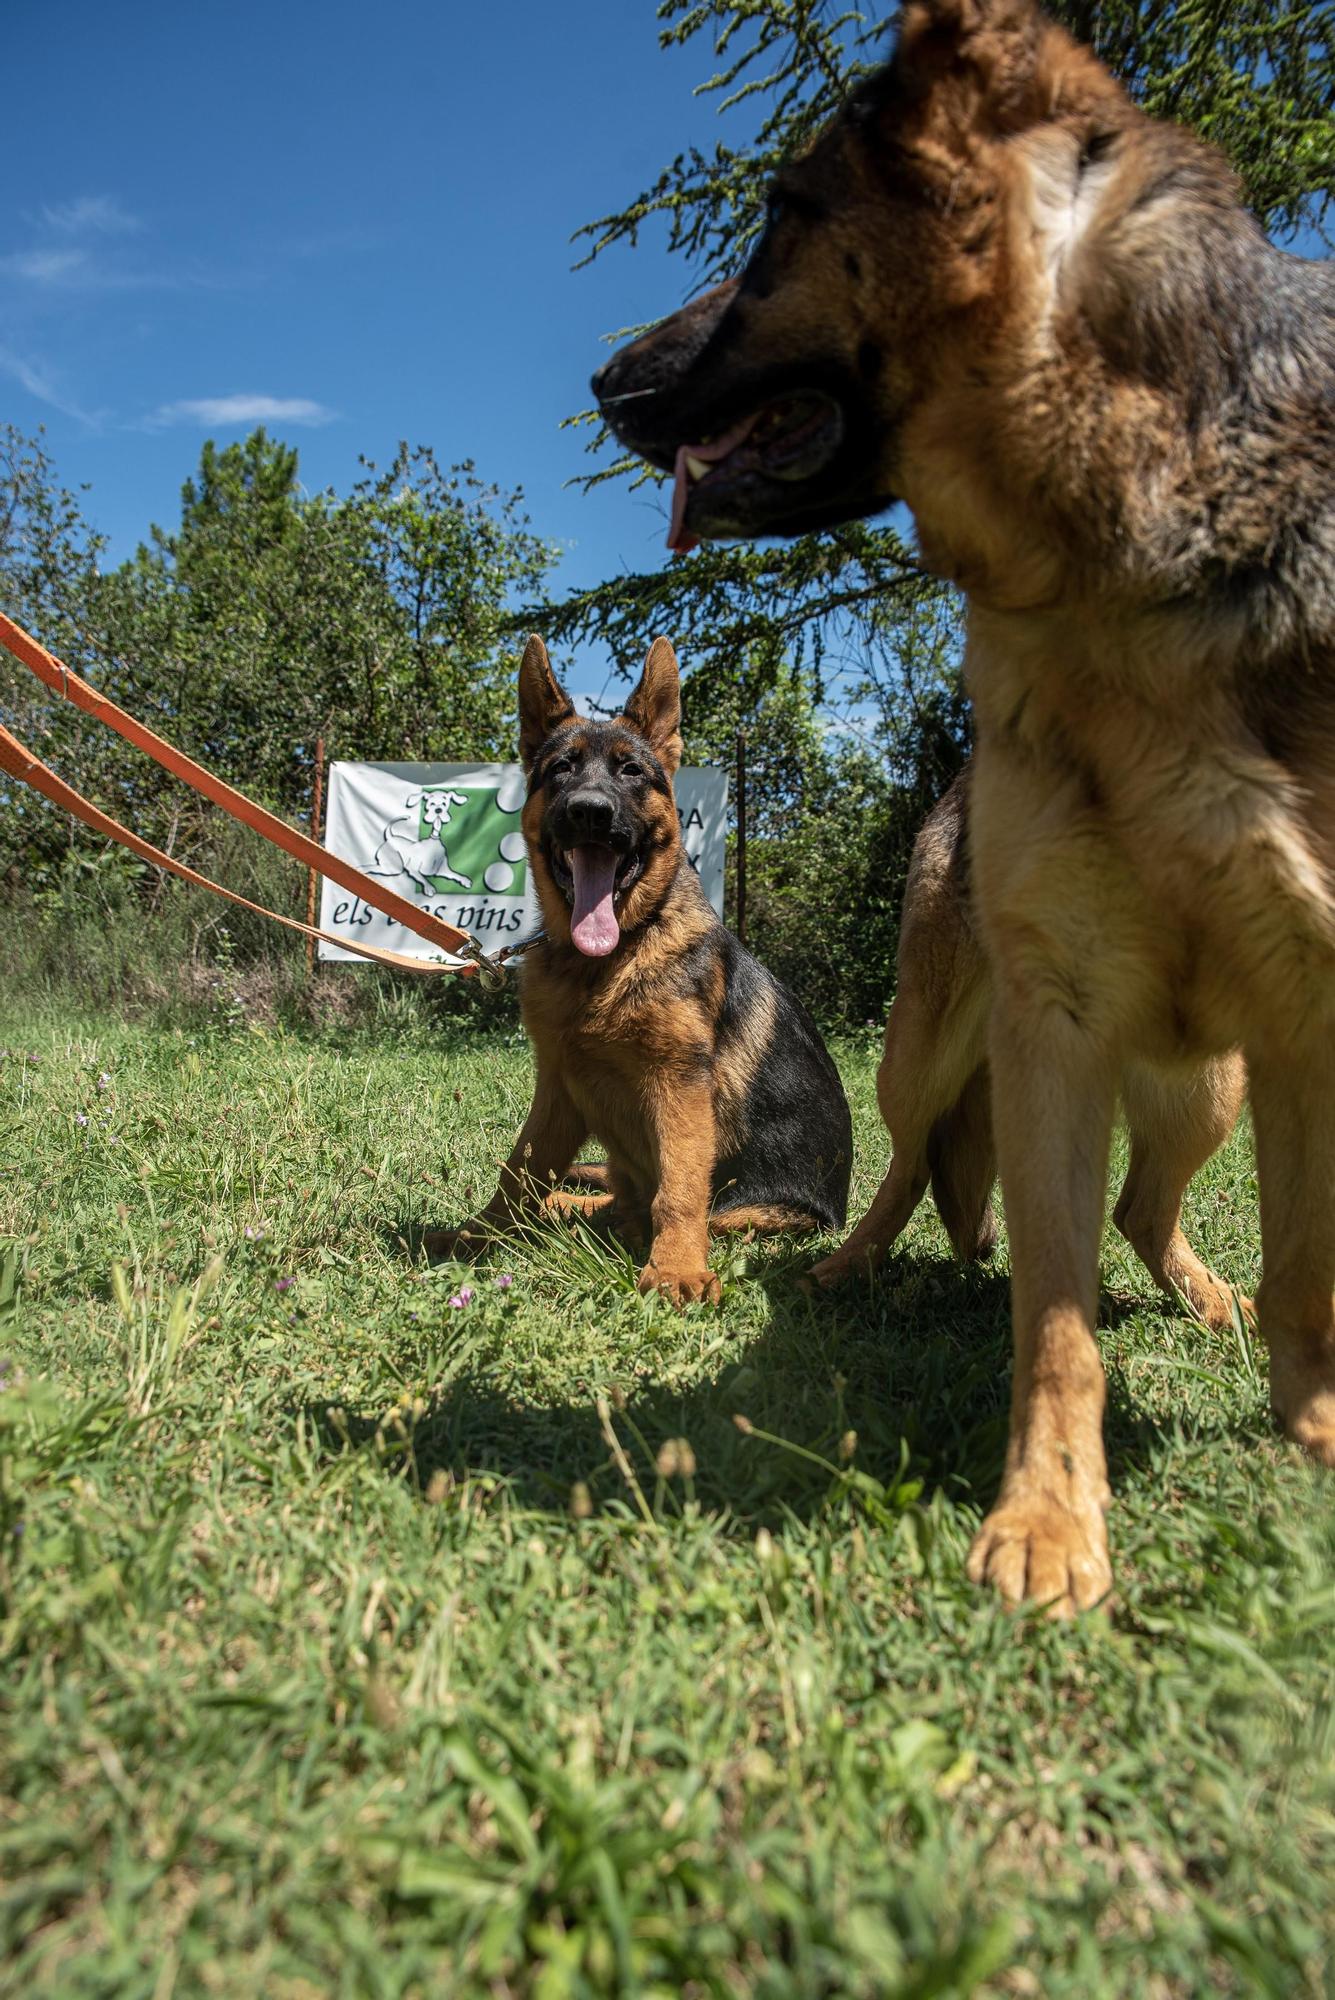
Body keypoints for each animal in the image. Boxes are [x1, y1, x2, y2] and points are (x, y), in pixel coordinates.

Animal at [433, 632, 851, 1304]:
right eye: (562, 769)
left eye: (631, 771)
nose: (590, 812)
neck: (607, 962)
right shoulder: (558, 1091)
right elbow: (516, 1176)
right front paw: (477, 1237)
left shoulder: (678, 1088)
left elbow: (678, 1191)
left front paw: (676, 1267)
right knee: (600, 1204)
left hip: (746, 1214)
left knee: (652, 1210)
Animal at [595, 0, 1335, 1600]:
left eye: (779, 220)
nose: (604, 383)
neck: (1116, 546)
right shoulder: (1050, 1017)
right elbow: (1052, 1322)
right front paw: (1049, 1516)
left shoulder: (1309, 1009)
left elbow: (1307, 1264)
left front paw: (1312, 1428)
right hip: (932, 1042)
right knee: (916, 1173)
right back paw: (845, 1266)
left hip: (1210, 1085)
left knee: (1142, 1209)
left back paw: (1207, 1293)